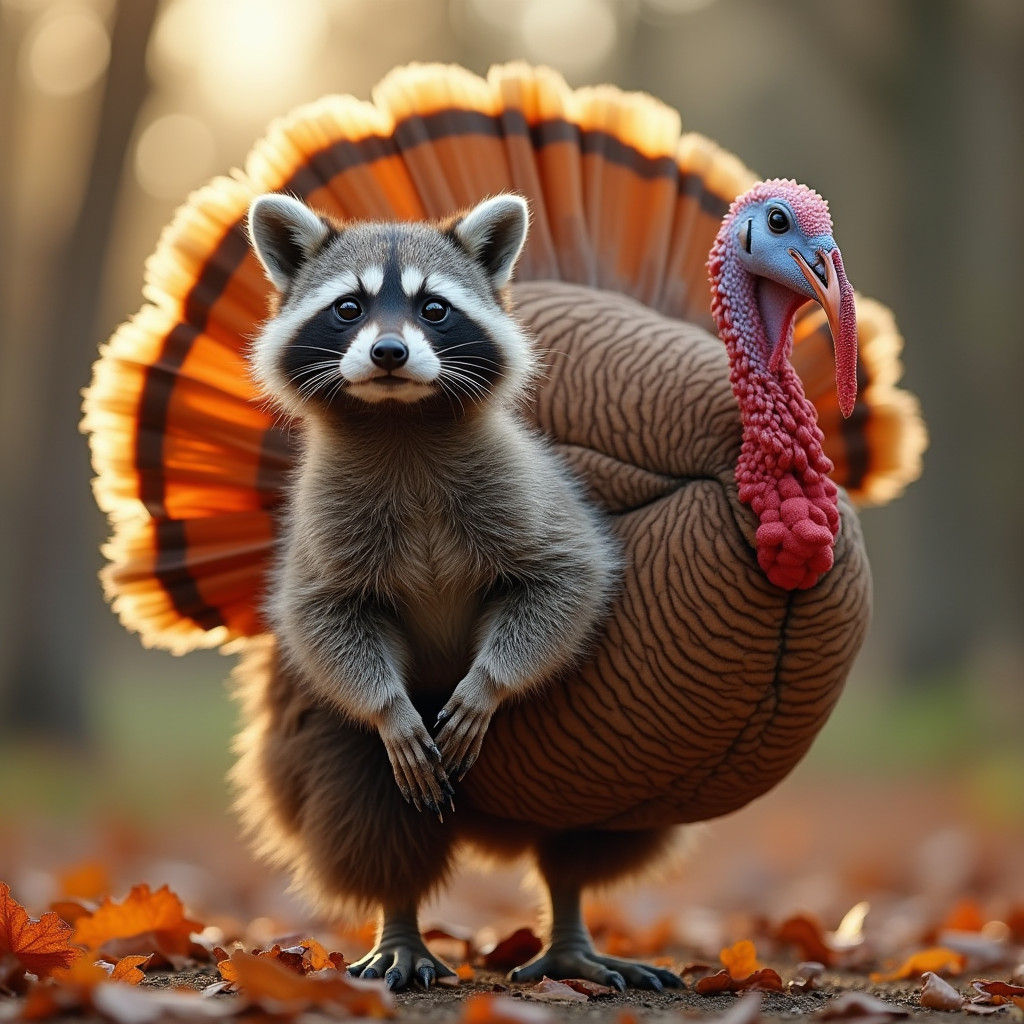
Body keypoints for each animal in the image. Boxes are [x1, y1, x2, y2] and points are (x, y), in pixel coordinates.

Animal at [244, 192, 620, 826]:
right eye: (349, 307)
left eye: (435, 308)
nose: (389, 352)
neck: (402, 420)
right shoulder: (323, 521)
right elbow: (321, 619)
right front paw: (388, 708)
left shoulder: (522, 487)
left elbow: (565, 581)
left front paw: (489, 683)